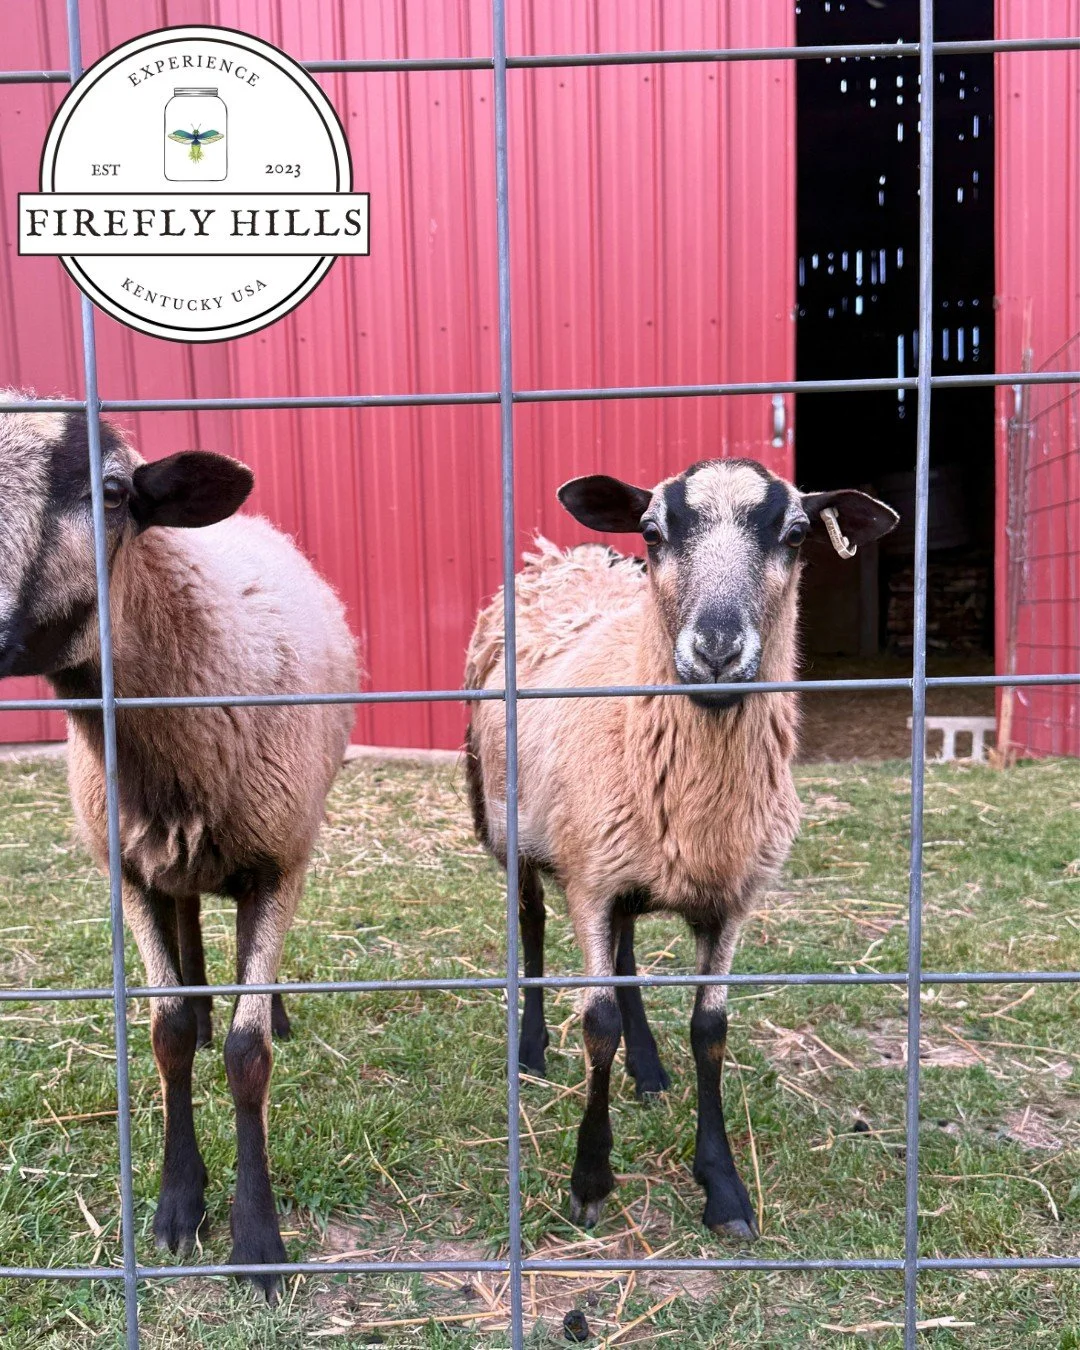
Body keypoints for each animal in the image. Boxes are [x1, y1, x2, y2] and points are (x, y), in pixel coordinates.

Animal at [0, 401, 357, 1298]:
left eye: (115, 492)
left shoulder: (278, 860)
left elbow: (247, 1052)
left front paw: (257, 1243)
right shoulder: (125, 870)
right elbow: (161, 1036)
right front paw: (176, 1206)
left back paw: (265, 1007)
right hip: (172, 861)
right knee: (192, 922)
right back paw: (200, 1006)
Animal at [465, 457, 897, 1237]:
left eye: (796, 535)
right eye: (651, 531)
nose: (717, 651)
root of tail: (562, 557)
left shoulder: (731, 896)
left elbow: (710, 1030)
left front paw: (722, 1188)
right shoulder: (590, 881)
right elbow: (598, 1021)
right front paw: (590, 1181)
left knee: (628, 951)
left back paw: (648, 1070)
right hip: (516, 828)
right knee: (532, 924)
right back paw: (532, 1049)